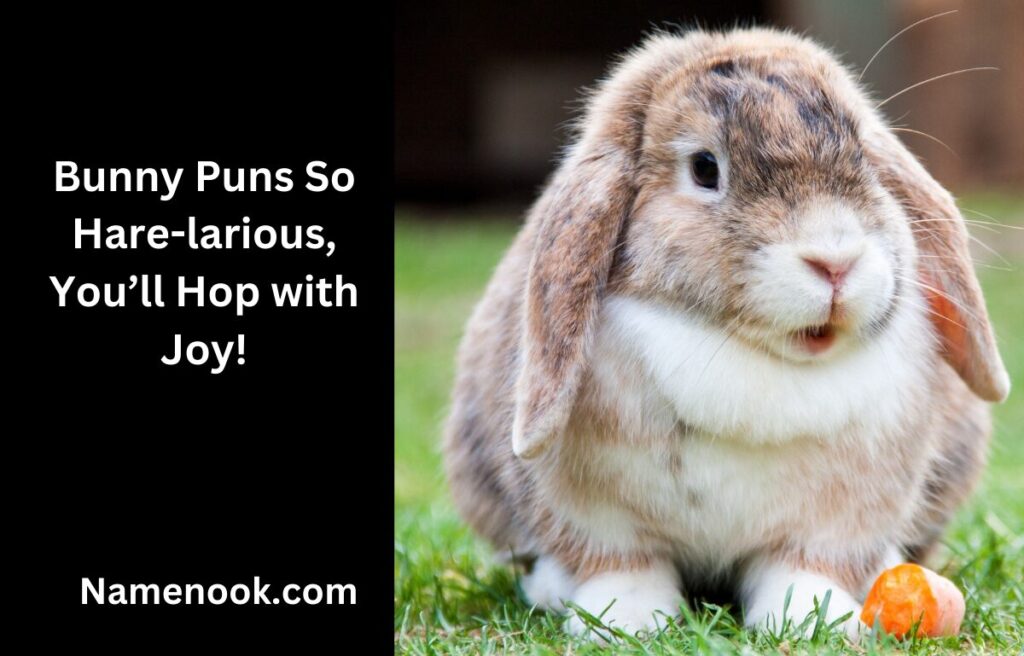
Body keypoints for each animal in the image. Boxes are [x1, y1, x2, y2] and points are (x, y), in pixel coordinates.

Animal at [443, 27, 1010, 640]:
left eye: (862, 153)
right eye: (704, 169)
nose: (835, 261)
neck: (749, 355)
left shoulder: (837, 520)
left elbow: (804, 569)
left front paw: (814, 621)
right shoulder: (596, 517)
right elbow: (623, 566)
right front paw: (625, 622)